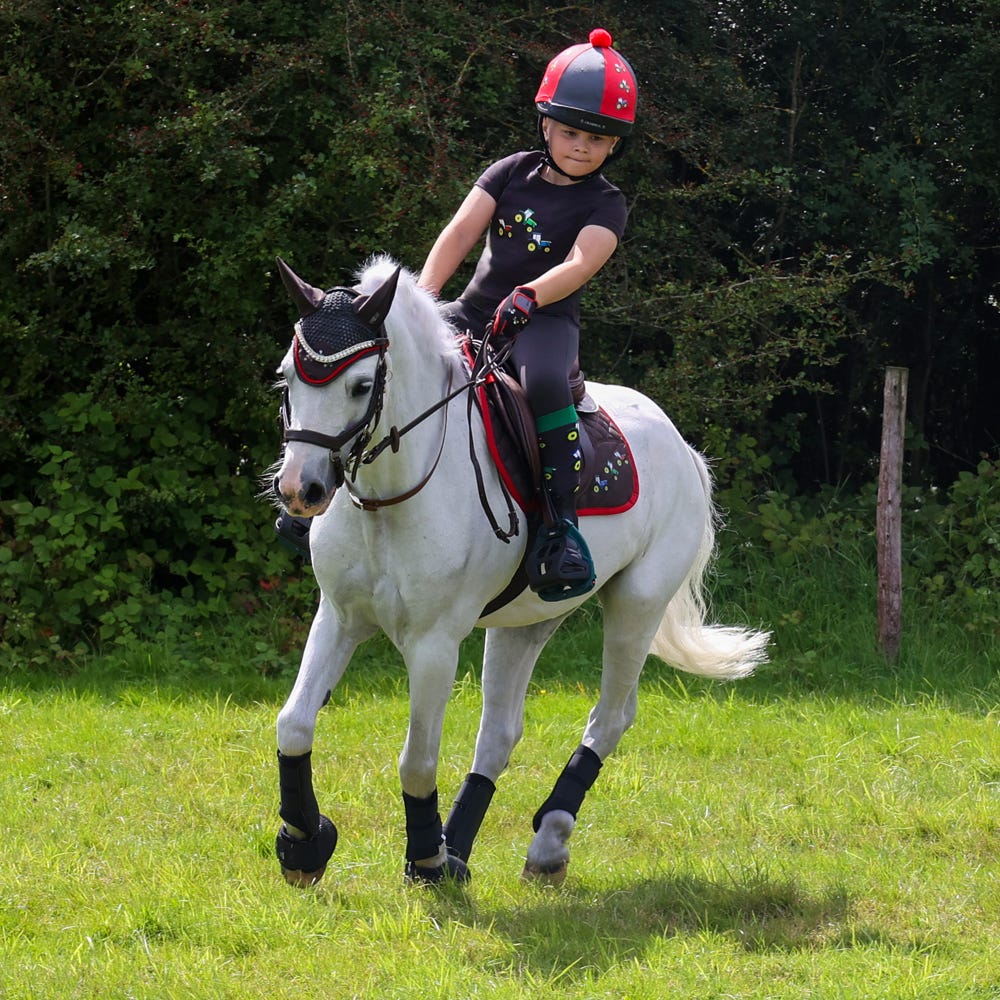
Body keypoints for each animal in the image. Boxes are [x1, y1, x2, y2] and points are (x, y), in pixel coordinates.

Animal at [270, 254, 768, 888]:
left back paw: (544, 842)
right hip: (524, 622)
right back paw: (459, 849)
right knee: (499, 735)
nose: (300, 490)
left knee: (611, 717)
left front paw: (423, 860)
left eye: (360, 386)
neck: (390, 497)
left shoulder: (434, 643)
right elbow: (293, 725)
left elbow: (417, 760)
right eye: (288, 377)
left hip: (637, 604)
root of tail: (683, 448)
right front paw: (304, 844)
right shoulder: (339, 618)